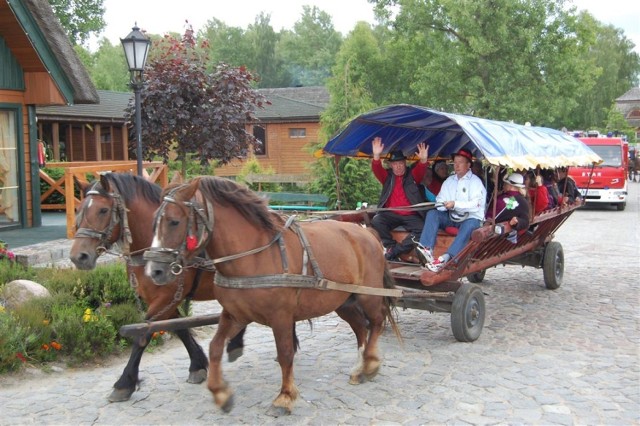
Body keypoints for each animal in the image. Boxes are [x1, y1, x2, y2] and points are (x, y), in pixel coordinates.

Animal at [69, 172, 245, 402]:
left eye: (103, 210)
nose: (78, 257)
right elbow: (180, 328)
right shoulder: (164, 300)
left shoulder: (167, 298)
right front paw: (197, 365)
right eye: (79, 210)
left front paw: (125, 383)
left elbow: (143, 333)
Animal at [145, 176, 400, 416]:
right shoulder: (235, 314)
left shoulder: (281, 318)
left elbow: (285, 354)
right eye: (154, 220)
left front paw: (284, 397)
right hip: (343, 301)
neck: (254, 257)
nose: (153, 271)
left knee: (376, 322)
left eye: (174, 221)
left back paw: (370, 364)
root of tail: (366, 232)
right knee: (360, 327)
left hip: (368, 296)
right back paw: (359, 368)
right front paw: (220, 393)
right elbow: (215, 347)